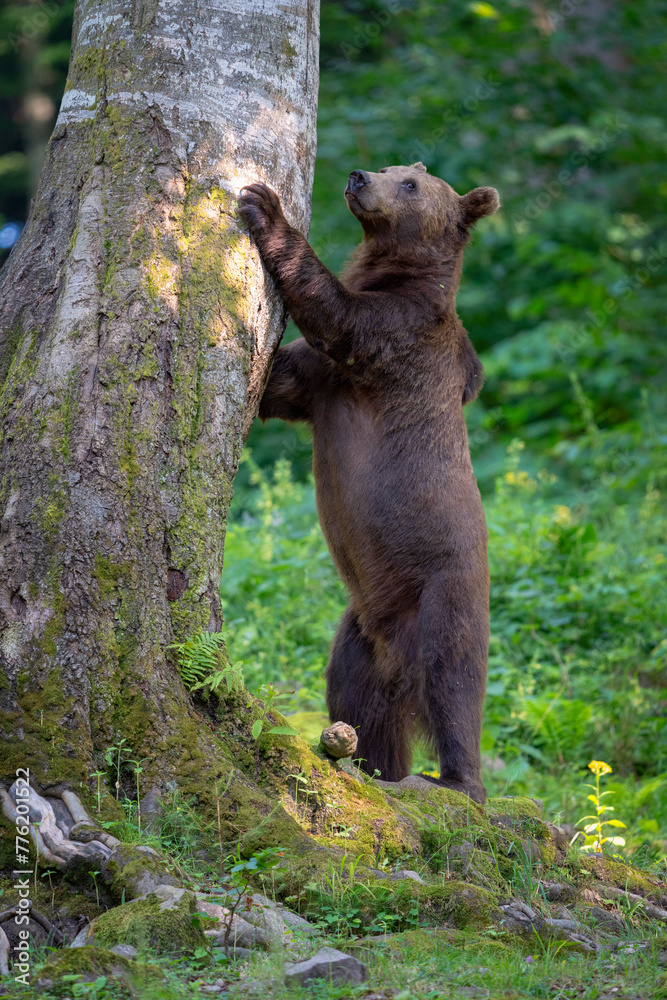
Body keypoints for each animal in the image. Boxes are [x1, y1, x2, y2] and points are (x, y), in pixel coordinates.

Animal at [238, 163, 499, 803]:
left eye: (411, 185)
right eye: (395, 167)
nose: (360, 177)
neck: (392, 271)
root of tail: (395, 652)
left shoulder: (396, 341)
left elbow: (341, 316)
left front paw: (265, 207)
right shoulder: (318, 384)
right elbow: (280, 382)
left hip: (443, 589)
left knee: (454, 679)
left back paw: (457, 781)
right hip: (360, 632)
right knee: (361, 703)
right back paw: (371, 766)